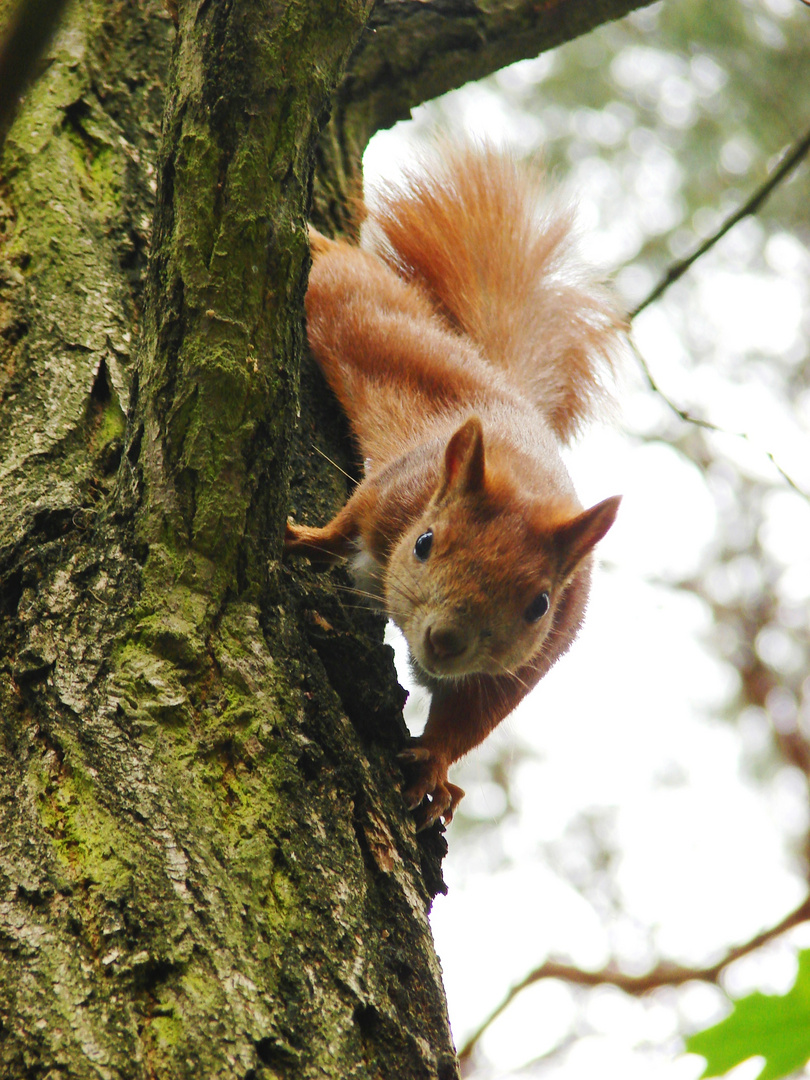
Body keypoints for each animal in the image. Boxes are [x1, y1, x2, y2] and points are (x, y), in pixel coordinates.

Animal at [285, 143, 626, 829]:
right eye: (424, 544)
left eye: (539, 605)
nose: (445, 641)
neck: (524, 476)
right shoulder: (395, 488)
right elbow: (347, 522)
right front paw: (305, 540)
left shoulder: (529, 661)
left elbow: (474, 717)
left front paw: (434, 768)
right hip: (355, 307)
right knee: (343, 272)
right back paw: (313, 239)